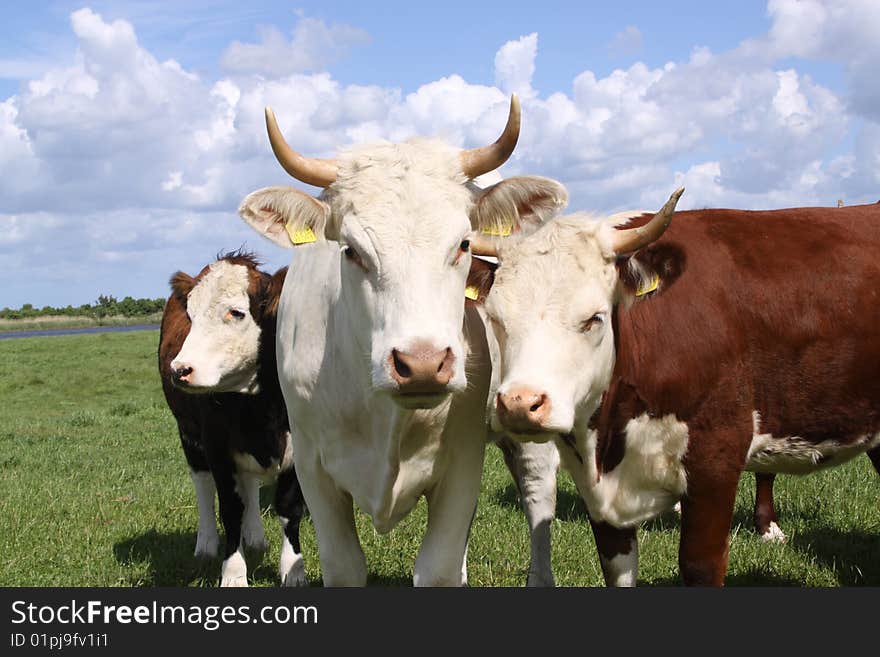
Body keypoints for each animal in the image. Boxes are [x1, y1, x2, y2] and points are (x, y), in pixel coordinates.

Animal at [158, 254, 306, 588]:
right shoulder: (217, 449)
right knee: (203, 485)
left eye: (236, 312)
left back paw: (255, 538)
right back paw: (206, 544)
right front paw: (234, 574)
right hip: (188, 434)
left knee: (249, 484)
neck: (262, 407)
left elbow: (289, 508)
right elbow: (229, 510)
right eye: (190, 315)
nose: (180, 370)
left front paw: (293, 570)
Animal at [237, 97, 568, 584]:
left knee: (538, 494)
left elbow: (437, 567)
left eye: (464, 244)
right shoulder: (314, 471)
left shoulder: (462, 464)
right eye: (351, 250)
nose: (423, 363)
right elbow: (346, 564)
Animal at [474, 191, 880, 584]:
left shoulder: (716, 459)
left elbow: (700, 565)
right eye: (495, 318)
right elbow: (617, 569)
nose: (520, 403)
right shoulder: (599, 494)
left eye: (594, 319)